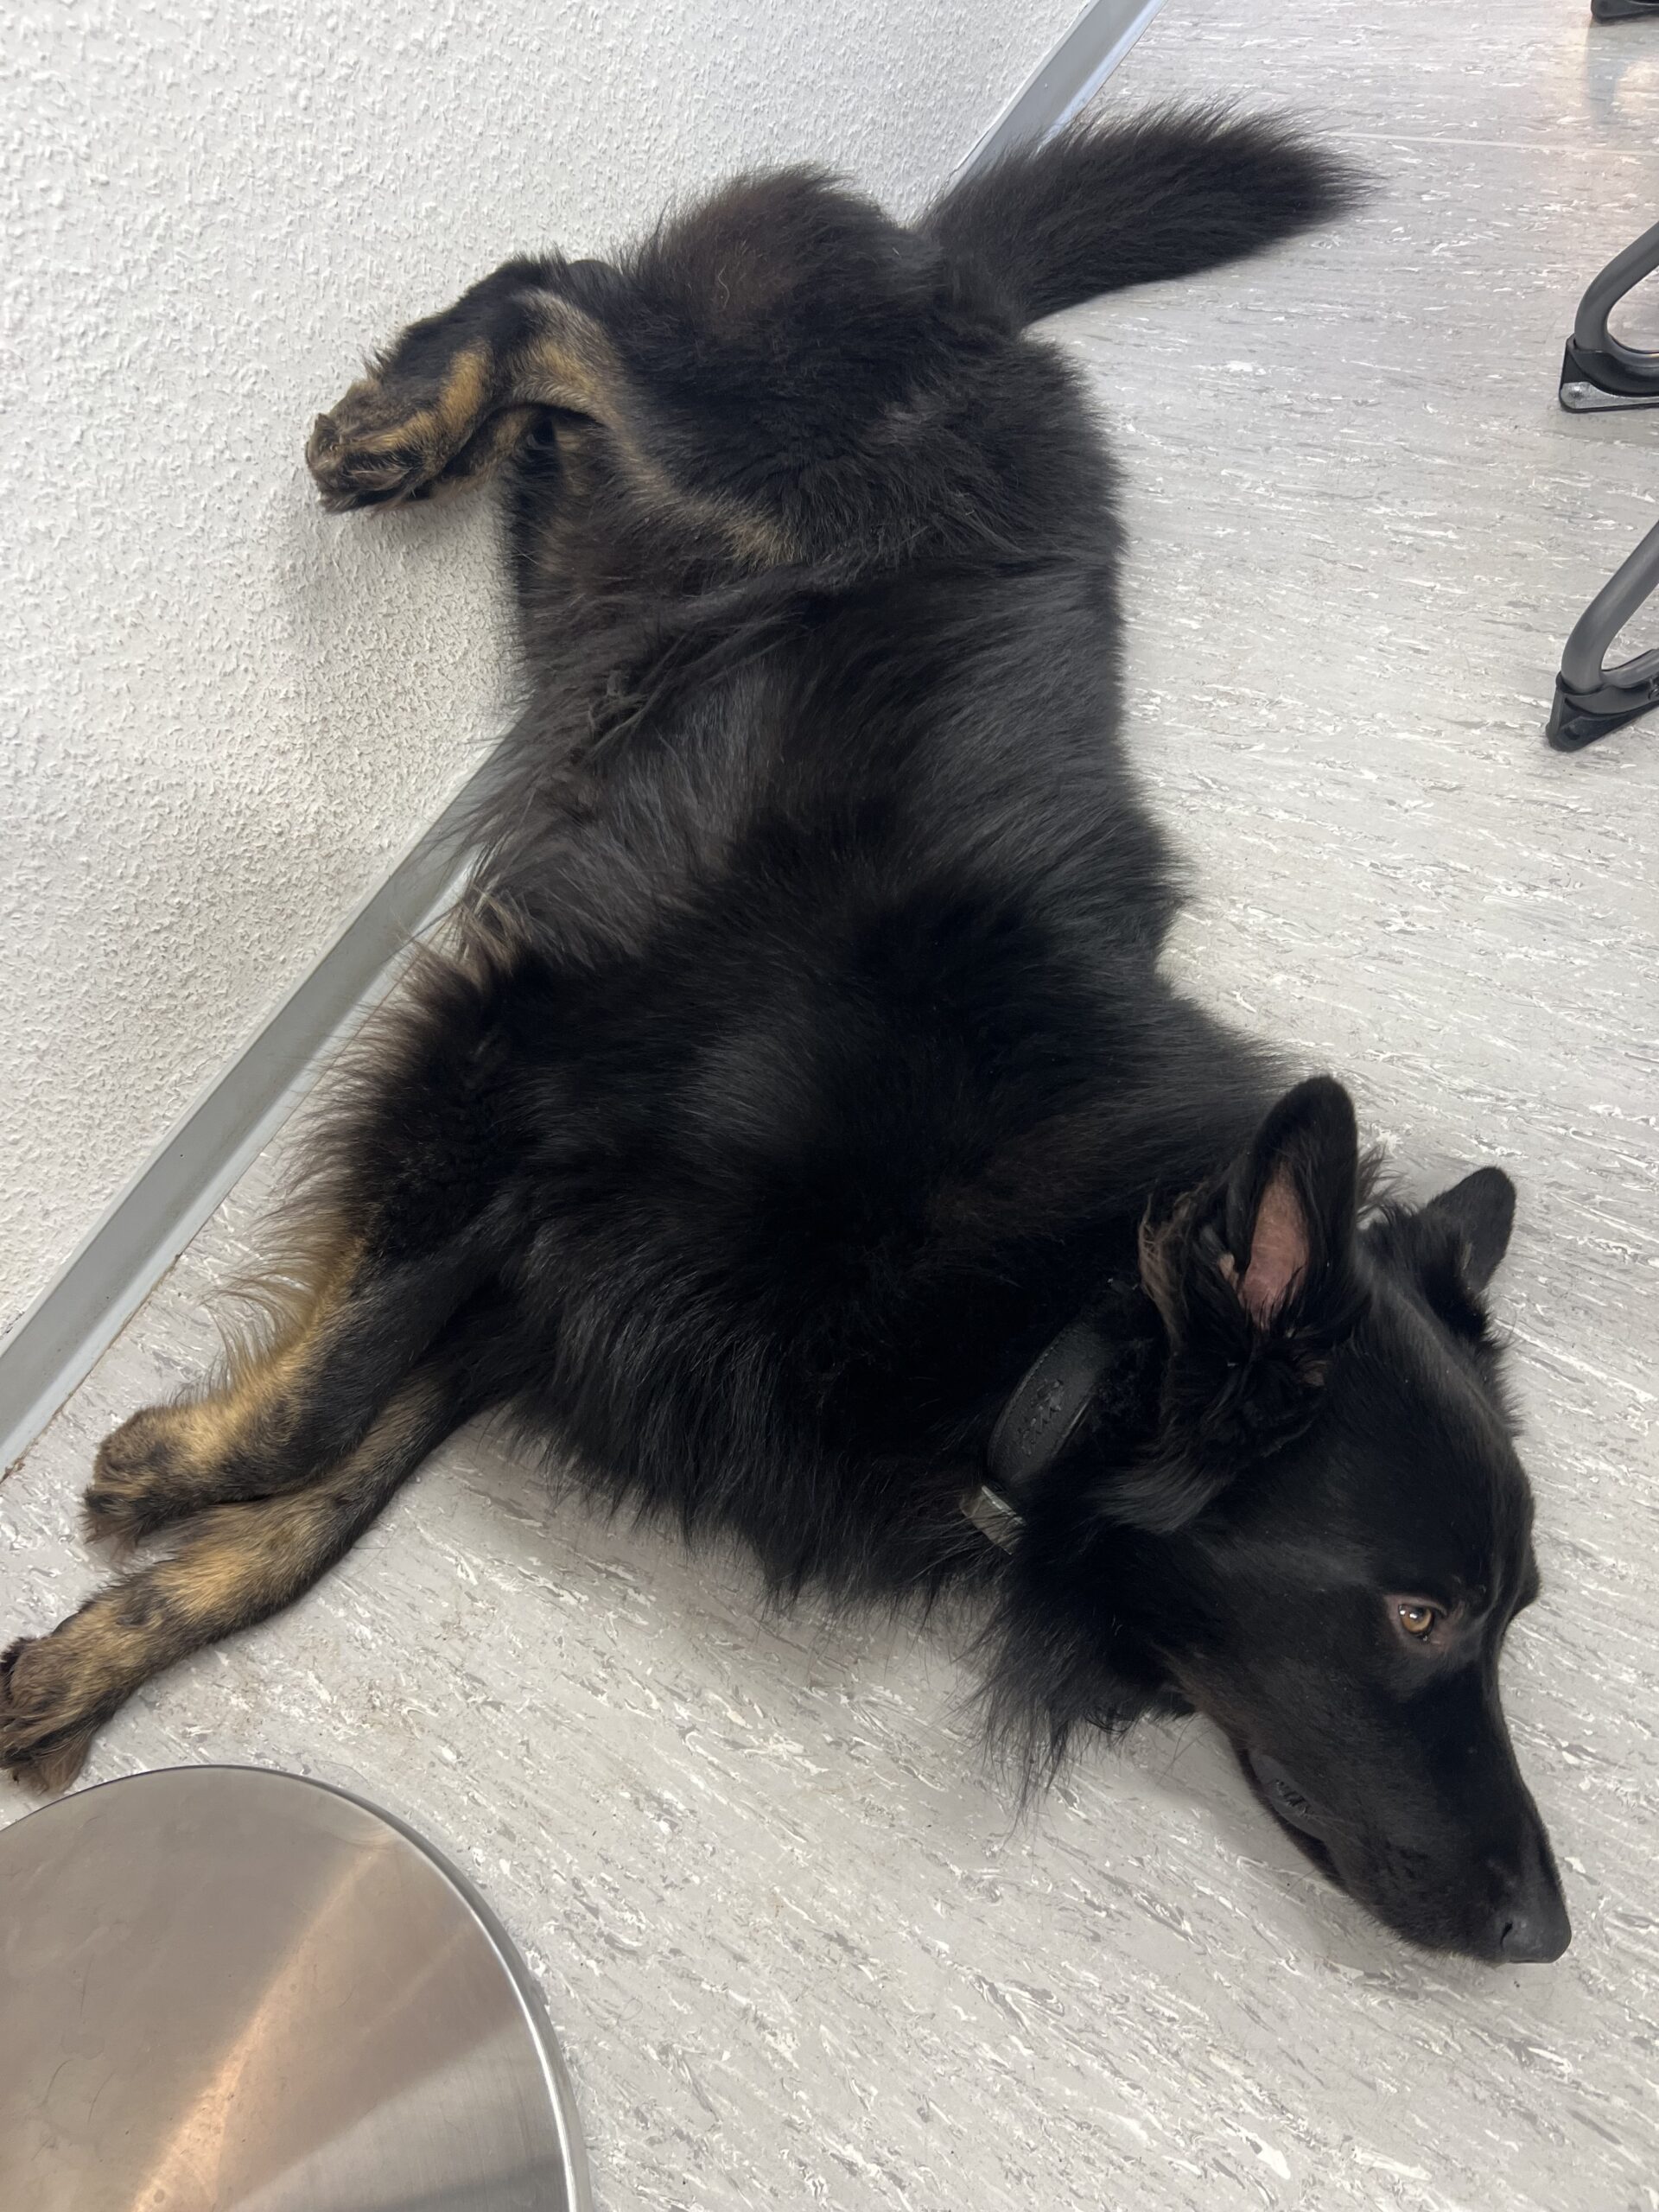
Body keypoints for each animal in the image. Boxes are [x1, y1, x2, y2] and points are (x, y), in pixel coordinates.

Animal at [0, 109, 1570, 1962]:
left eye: (1513, 1609)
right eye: (1416, 1614)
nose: (1545, 1931)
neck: (1054, 1294)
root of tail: (962, 283)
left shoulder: (549, 1285)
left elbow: (327, 1503)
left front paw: (100, 1653)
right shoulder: (510, 1066)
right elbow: (324, 1403)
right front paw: (171, 1465)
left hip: (597, 553)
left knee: (575, 353)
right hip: (711, 479)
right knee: (569, 297)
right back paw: (405, 423)